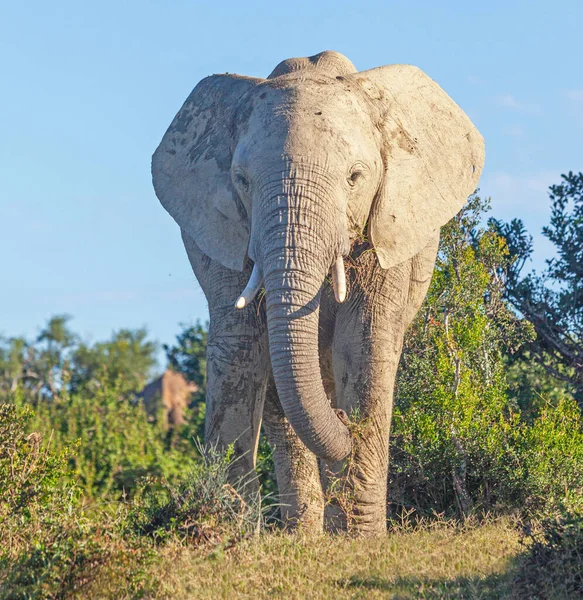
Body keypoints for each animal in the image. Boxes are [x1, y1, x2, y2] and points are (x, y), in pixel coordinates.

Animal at [151, 49, 484, 532]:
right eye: (242, 179)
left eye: (355, 177)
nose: (345, 420)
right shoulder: (223, 229)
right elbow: (242, 345)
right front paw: (229, 530)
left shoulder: (387, 224)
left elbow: (362, 342)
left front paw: (361, 537)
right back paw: (305, 535)